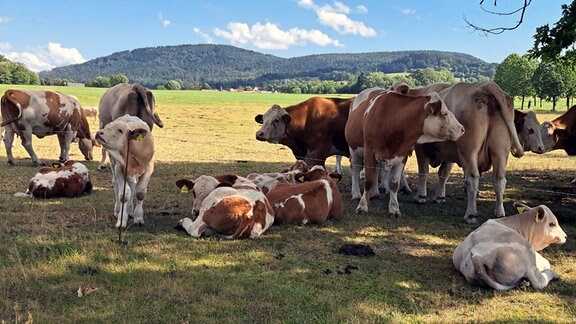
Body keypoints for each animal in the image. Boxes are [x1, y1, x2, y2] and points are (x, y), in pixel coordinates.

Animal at [344, 88, 466, 218]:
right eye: (444, 113)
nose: (462, 129)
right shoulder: (369, 153)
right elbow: (368, 181)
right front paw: (362, 206)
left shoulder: (401, 156)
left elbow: (394, 184)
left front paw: (394, 209)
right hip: (354, 149)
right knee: (355, 168)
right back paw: (356, 193)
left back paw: (375, 193)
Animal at [412, 81, 524, 223]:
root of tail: (486, 86)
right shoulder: (450, 152)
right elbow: (444, 173)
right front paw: (439, 197)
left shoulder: (420, 147)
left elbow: (423, 171)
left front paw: (421, 196)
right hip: (500, 152)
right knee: (499, 179)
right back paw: (499, 213)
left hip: (469, 151)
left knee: (472, 178)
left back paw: (470, 214)